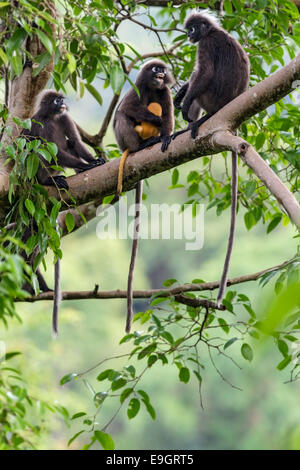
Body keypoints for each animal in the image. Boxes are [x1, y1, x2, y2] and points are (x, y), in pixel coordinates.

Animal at [171, 12, 251, 306]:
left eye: (193, 29)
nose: (189, 35)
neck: (211, 32)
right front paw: (180, 93)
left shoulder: (205, 45)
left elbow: (203, 73)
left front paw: (184, 103)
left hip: (211, 100)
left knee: (200, 79)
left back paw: (193, 121)